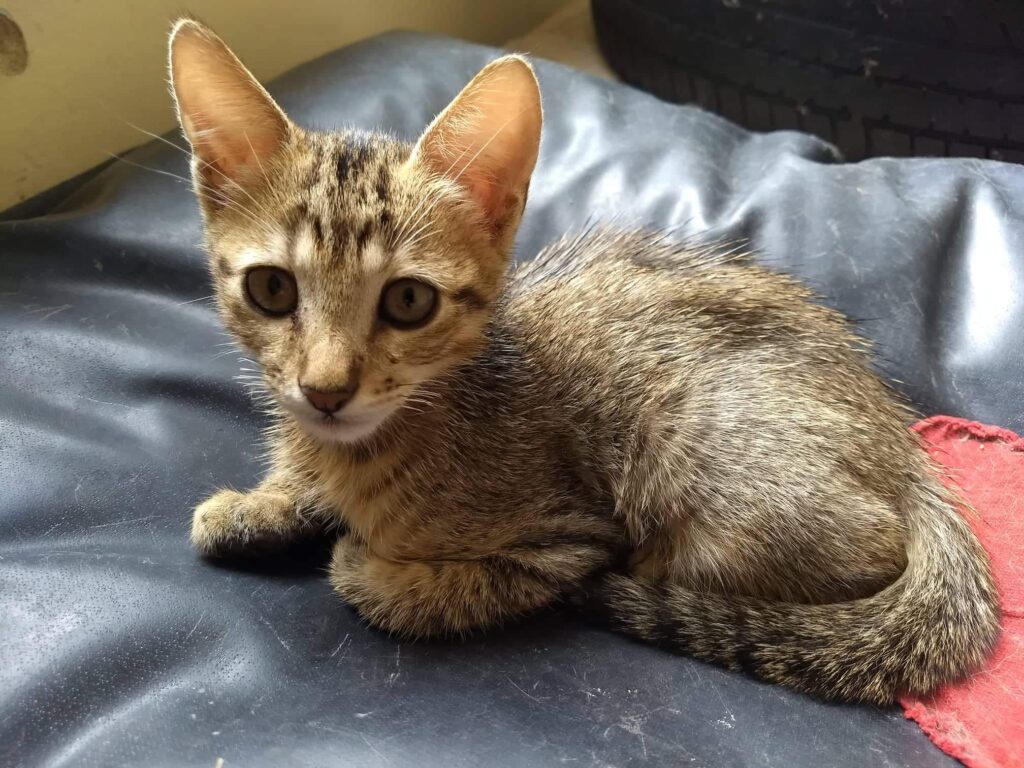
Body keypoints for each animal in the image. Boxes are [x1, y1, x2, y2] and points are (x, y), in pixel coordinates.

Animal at [169, 19, 999, 704]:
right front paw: (259, 504)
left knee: (862, 551)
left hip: (681, 443)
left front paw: (367, 567)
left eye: (407, 301)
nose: (325, 390)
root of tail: (906, 450)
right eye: (272, 289)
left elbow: (430, 591)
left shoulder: (568, 539)